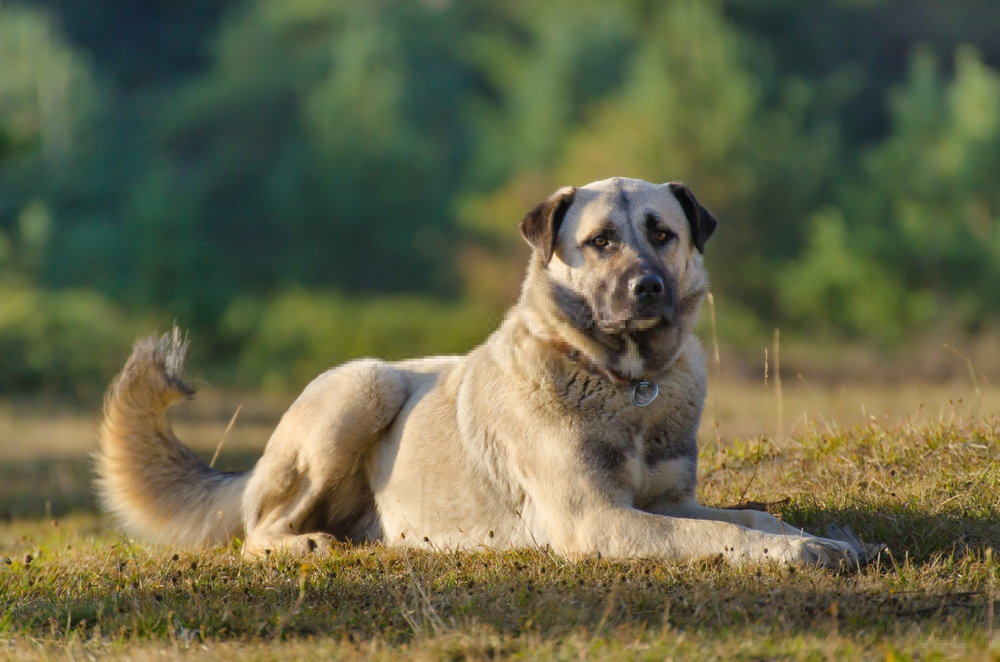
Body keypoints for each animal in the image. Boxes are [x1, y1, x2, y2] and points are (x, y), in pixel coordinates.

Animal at [94, 178, 860, 572]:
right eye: (600, 242)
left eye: (662, 234)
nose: (646, 289)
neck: (624, 381)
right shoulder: (600, 520)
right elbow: (725, 538)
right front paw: (800, 551)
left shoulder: (666, 503)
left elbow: (751, 516)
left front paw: (828, 538)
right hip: (363, 388)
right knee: (256, 529)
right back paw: (302, 543)